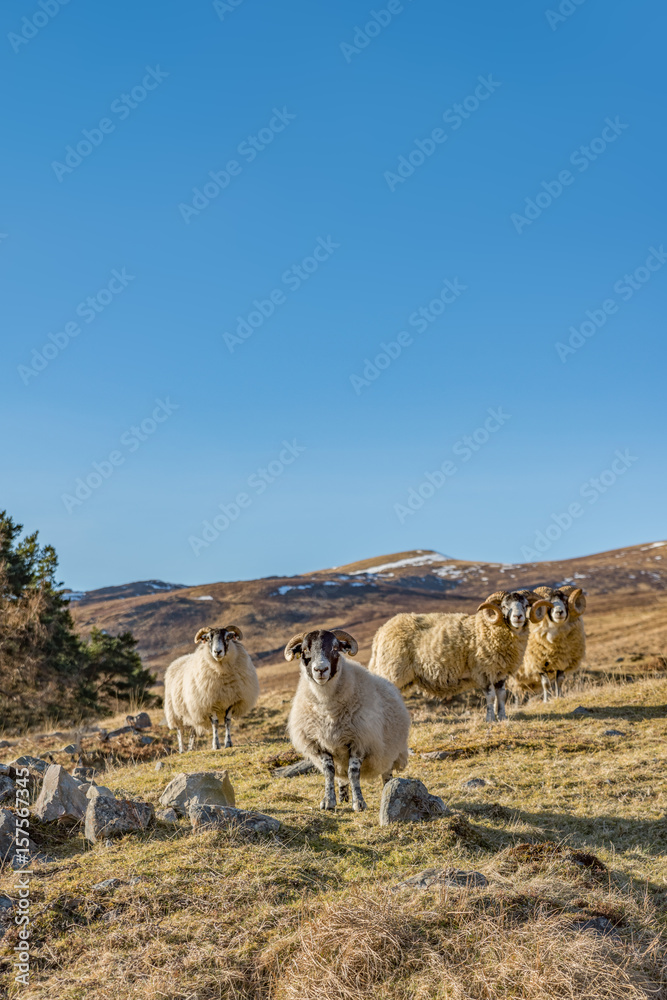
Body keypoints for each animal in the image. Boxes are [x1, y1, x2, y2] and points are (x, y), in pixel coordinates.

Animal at [284, 628, 410, 812]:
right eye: (305, 649)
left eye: (335, 648)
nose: (320, 669)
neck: (327, 708)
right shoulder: (319, 743)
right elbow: (329, 771)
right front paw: (328, 801)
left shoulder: (360, 741)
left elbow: (353, 773)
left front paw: (359, 803)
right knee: (340, 775)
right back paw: (343, 796)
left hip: (390, 750)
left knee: (385, 771)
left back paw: (388, 788)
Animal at [368, 591, 552, 723]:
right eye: (505, 606)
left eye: (526, 605)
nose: (518, 617)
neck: (487, 628)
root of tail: (381, 631)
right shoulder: (482, 672)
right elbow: (491, 696)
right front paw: (490, 719)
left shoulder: (500, 673)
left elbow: (501, 696)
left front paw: (503, 717)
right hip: (392, 670)